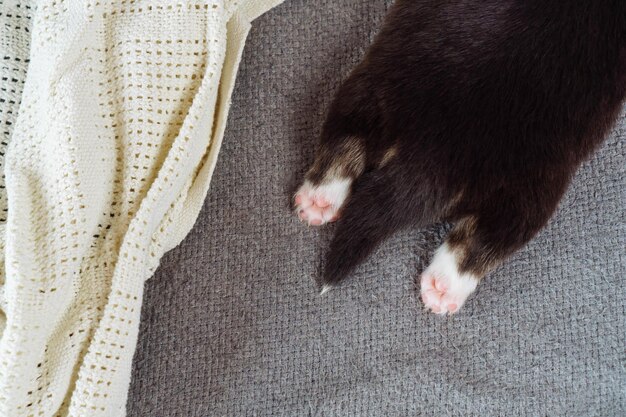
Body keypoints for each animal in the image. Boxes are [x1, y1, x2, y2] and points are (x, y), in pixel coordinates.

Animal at [294, 0, 624, 312]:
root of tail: (429, 151)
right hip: (538, 182)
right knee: (492, 236)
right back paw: (445, 286)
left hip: (372, 86)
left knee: (345, 138)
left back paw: (318, 199)